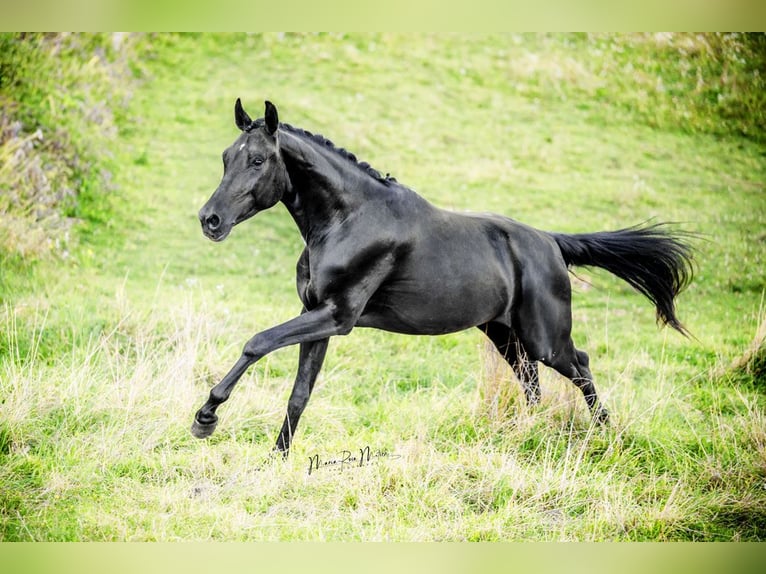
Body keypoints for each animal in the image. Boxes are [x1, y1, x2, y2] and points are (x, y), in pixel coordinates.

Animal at [192, 100, 696, 460]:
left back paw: (607, 435)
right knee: (531, 383)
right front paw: (276, 459)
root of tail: (551, 242)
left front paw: (206, 416)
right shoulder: (317, 315)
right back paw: (528, 436)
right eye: (226, 157)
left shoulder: (338, 316)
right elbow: (299, 394)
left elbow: (257, 342)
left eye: (258, 160)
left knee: (582, 365)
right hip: (504, 334)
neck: (348, 219)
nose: (209, 220)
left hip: (545, 338)